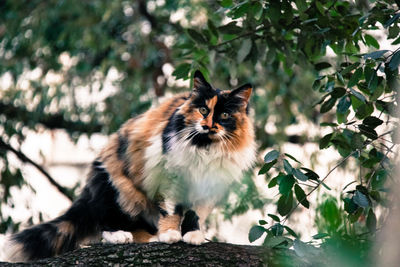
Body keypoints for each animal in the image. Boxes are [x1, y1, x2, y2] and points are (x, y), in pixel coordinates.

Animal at [3, 70, 256, 262]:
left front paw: (193, 235)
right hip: (119, 191)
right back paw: (127, 236)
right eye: (203, 110)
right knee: (104, 222)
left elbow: (195, 213)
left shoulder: (210, 184)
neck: (205, 147)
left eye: (224, 115)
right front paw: (170, 235)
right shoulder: (169, 176)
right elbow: (172, 210)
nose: (208, 126)